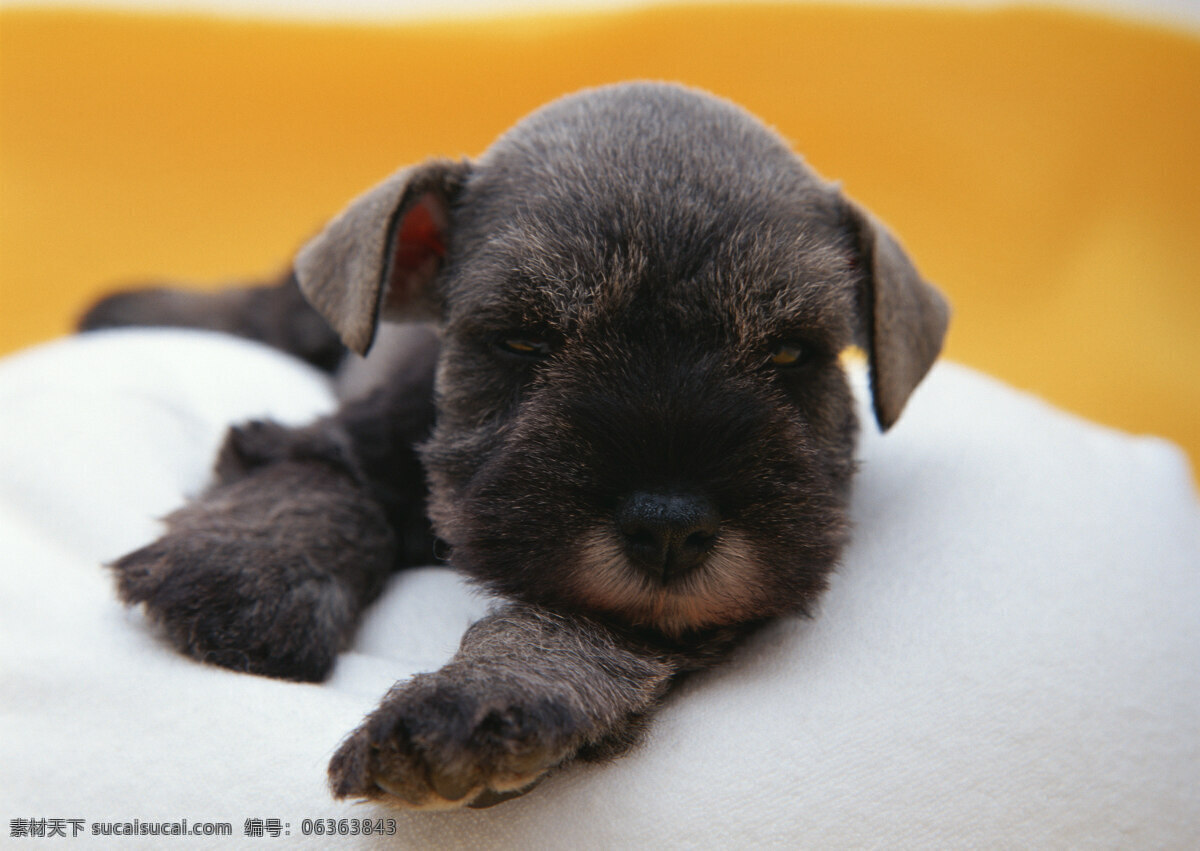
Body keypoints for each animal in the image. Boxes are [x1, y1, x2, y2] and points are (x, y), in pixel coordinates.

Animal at [79, 82, 950, 806]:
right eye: (525, 339)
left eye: (791, 353)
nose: (670, 525)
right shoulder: (348, 435)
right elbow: (316, 479)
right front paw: (242, 576)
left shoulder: (669, 607)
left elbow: (576, 626)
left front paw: (476, 702)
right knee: (269, 309)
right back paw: (128, 307)